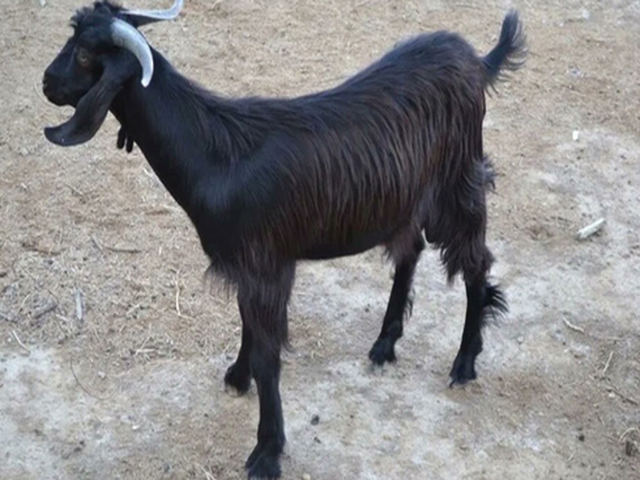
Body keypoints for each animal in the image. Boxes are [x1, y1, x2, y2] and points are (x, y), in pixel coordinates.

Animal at [42, 1, 526, 478]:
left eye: (84, 55)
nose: (46, 82)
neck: (216, 155)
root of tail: (475, 61)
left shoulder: (267, 266)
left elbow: (267, 356)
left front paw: (266, 452)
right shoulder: (248, 266)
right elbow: (248, 329)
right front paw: (238, 378)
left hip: (459, 184)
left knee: (476, 262)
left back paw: (465, 362)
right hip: (410, 196)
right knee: (411, 251)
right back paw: (385, 343)